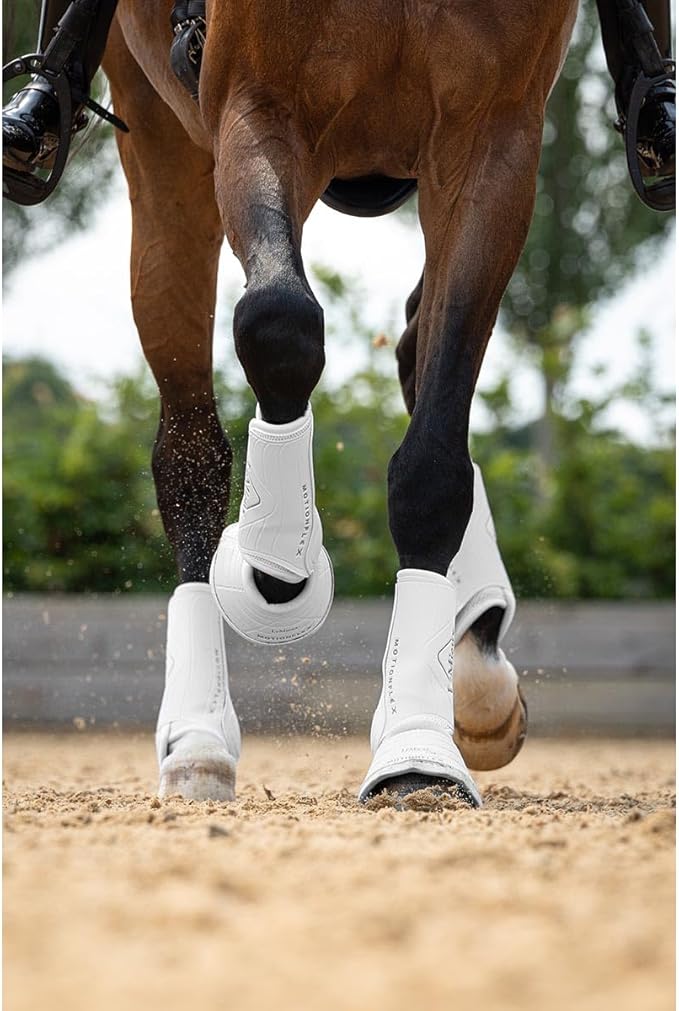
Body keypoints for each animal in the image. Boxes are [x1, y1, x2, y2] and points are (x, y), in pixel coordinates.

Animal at [102, 0, 578, 806]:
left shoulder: (494, 135)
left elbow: (434, 456)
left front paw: (418, 746)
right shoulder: (258, 106)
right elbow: (279, 322)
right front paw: (276, 569)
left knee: (417, 349)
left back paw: (472, 665)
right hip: (161, 141)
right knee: (189, 451)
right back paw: (197, 738)